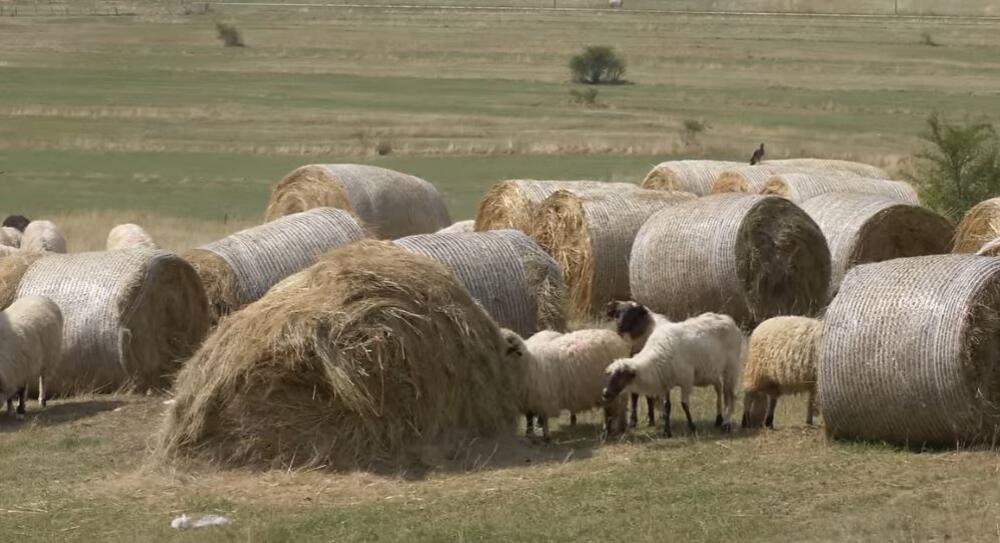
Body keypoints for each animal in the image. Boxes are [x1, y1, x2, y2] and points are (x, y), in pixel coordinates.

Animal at [600, 302, 744, 438]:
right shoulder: (665, 380)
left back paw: (726, 423)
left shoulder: (686, 380)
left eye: (621, 376)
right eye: (617, 314)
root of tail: (726, 318)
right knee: (719, 389)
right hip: (712, 370)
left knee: (729, 395)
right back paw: (718, 419)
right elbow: (666, 405)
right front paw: (666, 431)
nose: (605, 393)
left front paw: (692, 427)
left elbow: (684, 404)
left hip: (731, 368)